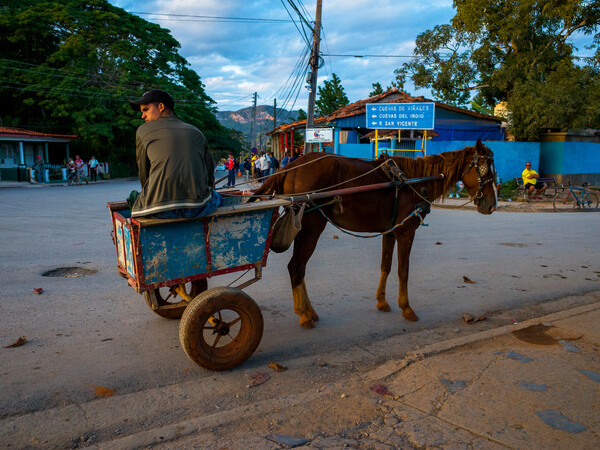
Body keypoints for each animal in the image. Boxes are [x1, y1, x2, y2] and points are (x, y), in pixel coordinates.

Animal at [253, 142, 496, 330]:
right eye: (486, 170)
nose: (492, 205)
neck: (416, 180)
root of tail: (291, 167)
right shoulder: (406, 232)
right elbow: (403, 271)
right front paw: (407, 308)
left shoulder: (390, 232)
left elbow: (385, 266)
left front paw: (382, 302)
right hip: (312, 225)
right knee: (296, 267)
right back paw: (304, 314)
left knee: (299, 268)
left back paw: (309, 311)